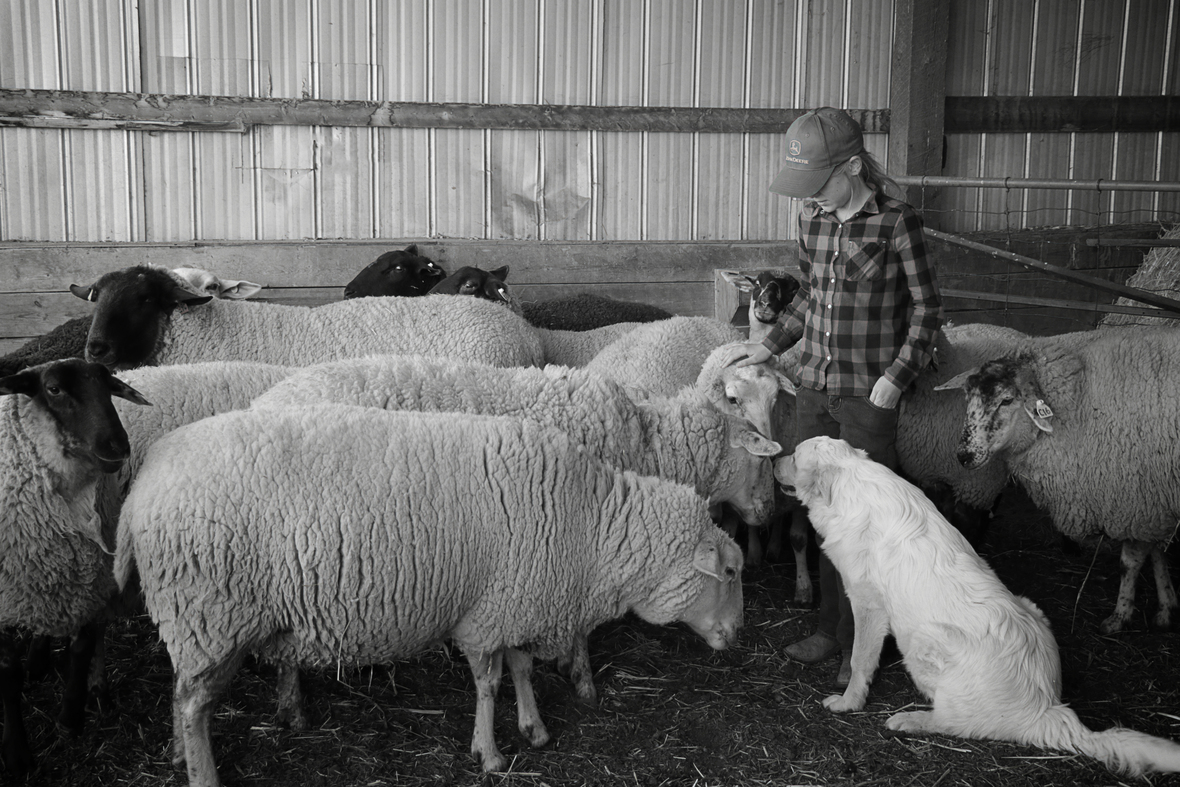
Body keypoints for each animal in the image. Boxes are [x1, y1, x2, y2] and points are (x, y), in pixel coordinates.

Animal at [0, 359, 149, 779]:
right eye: (53, 389)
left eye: (108, 385)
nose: (117, 447)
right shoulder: (6, 599)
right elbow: (8, 673)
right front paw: (17, 754)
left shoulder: (89, 580)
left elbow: (82, 646)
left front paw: (71, 716)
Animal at [113, 404, 745, 782]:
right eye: (734, 572)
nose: (737, 634)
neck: (591, 524)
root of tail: (142, 485)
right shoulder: (490, 616)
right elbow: (489, 684)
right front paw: (490, 753)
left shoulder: (515, 597)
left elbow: (520, 667)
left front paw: (534, 729)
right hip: (212, 612)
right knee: (194, 704)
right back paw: (203, 773)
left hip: (195, 621)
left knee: (182, 690)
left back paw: (181, 751)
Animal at [935, 325, 1180, 635]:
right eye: (968, 399)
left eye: (1007, 400)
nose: (965, 456)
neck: (1081, 405)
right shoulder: (1154, 503)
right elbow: (1158, 553)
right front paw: (1166, 607)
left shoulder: (1136, 501)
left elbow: (1131, 562)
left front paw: (1120, 615)